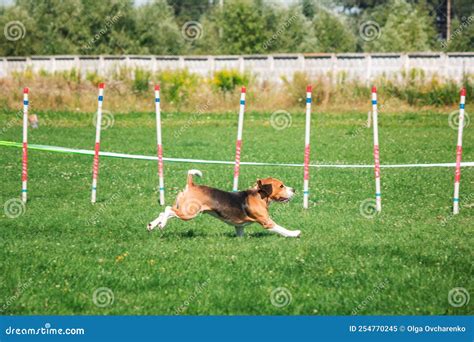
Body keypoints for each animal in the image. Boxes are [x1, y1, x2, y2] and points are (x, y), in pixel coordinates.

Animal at [147, 169, 300, 238]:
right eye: (281, 186)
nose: (294, 189)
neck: (258, 195)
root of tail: (191, 184)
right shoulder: (267, 222)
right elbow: (281, 229)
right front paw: (295, 233)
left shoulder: (239, 226)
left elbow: (240, 233)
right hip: (189, 213)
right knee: (168, 209)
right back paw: (162, 225)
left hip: (183, 208)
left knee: (164, 212)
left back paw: (152, 225)